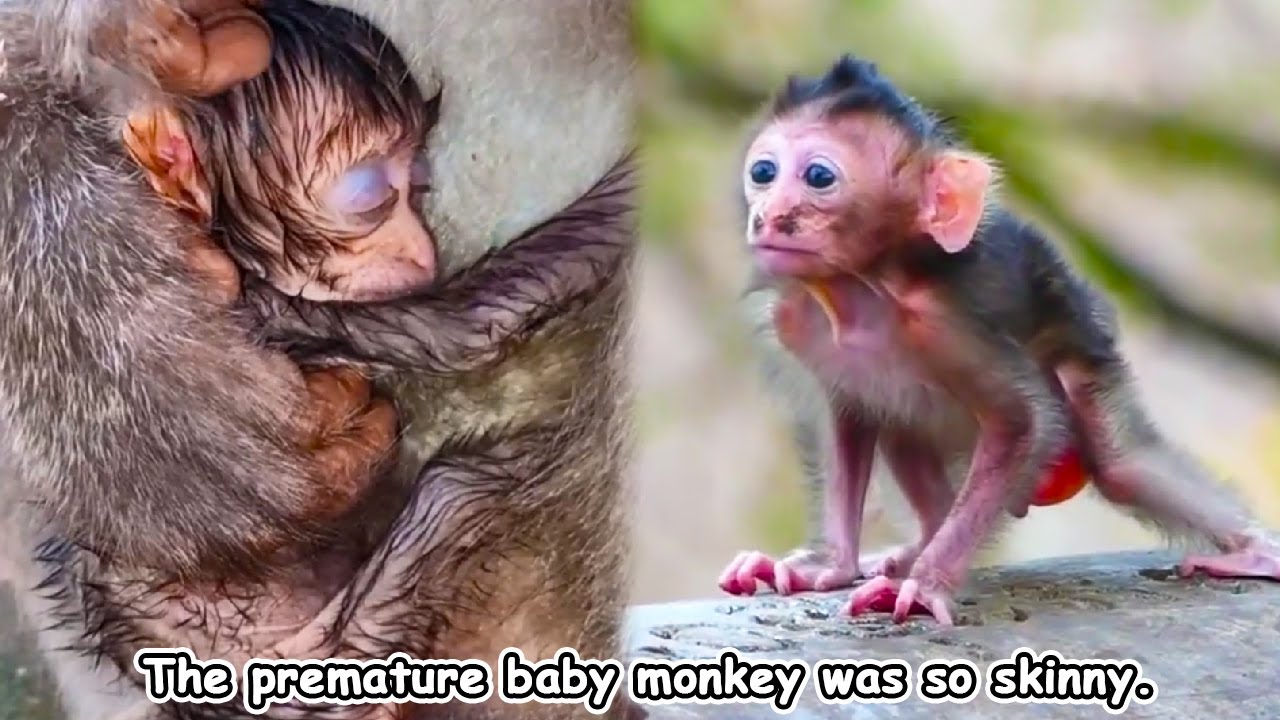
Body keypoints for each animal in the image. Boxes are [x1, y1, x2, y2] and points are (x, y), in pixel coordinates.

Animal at [1, 0, 640, 718]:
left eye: (420, 185)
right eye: (370, 195)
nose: (421, 249)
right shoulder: (274, 309)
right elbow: (474, 324)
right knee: (461, 496)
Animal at [718, 55, 1280, 626]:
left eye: (818, 176)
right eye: (763, 172)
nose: (769, 214)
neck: (861, 290)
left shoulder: (946, 327)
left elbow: (1020, 425)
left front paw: (926, 586)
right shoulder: (799, 323)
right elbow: (849, 421)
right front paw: (829, 566)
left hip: (1083, 357)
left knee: (1121, 467)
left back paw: (1253, 551)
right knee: (899, 421)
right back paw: (913, 544)